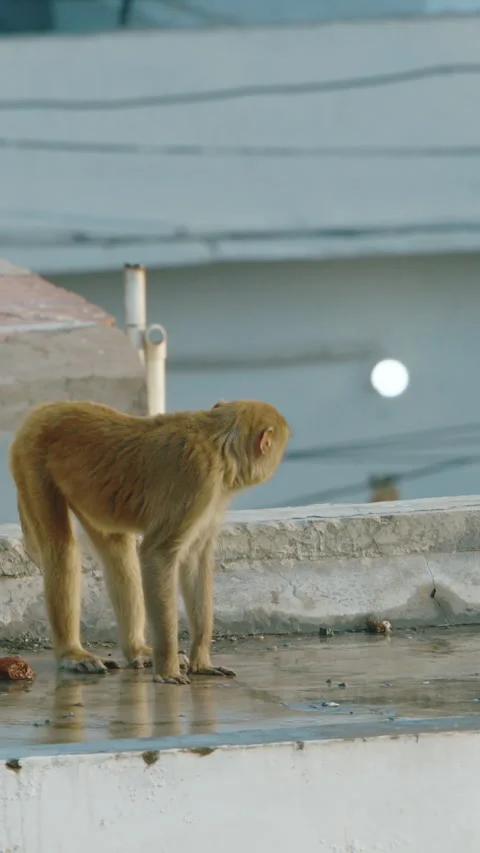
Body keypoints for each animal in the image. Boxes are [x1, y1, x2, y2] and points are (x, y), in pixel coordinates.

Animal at [9, 398, 290, 685]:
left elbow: (194, 561)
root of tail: (47, 408)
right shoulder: (199, 480)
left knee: (118, 553)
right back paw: (72, 654)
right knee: (61, 550)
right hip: (31, 459)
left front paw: (201, 662)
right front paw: (167, 669)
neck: (217, 442)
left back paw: (136, 649)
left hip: (89, 493)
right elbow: (157, 555)